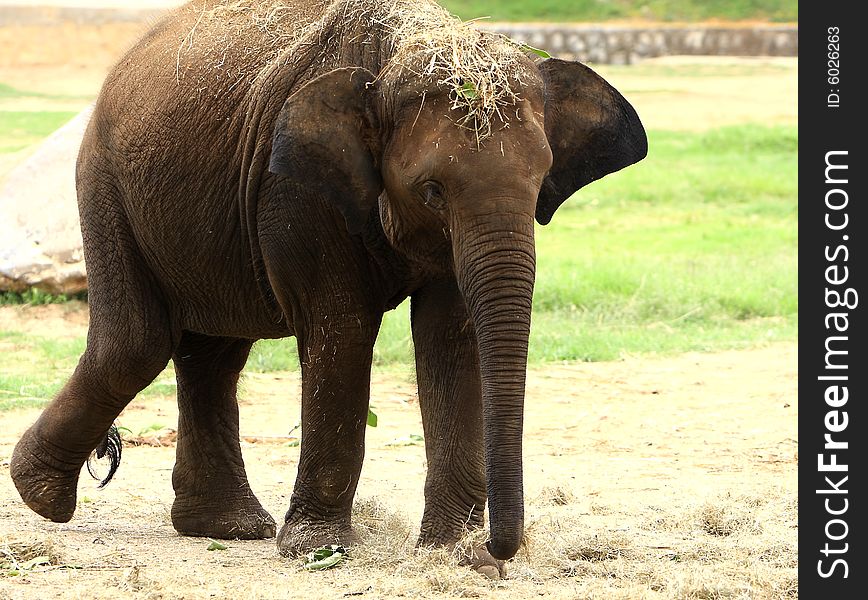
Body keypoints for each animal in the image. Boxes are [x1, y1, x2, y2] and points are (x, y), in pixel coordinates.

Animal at [6, 0, 644, 576]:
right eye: (432, 190)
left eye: (541, 183)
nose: (499, 551)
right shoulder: (297, 189)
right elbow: (342, 329)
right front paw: (321, 551)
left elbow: (449, 336)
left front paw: (453, 556)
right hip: (104, 184)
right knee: (137, 343)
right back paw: (44, 497)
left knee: (212, 355)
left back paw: (227, 529)